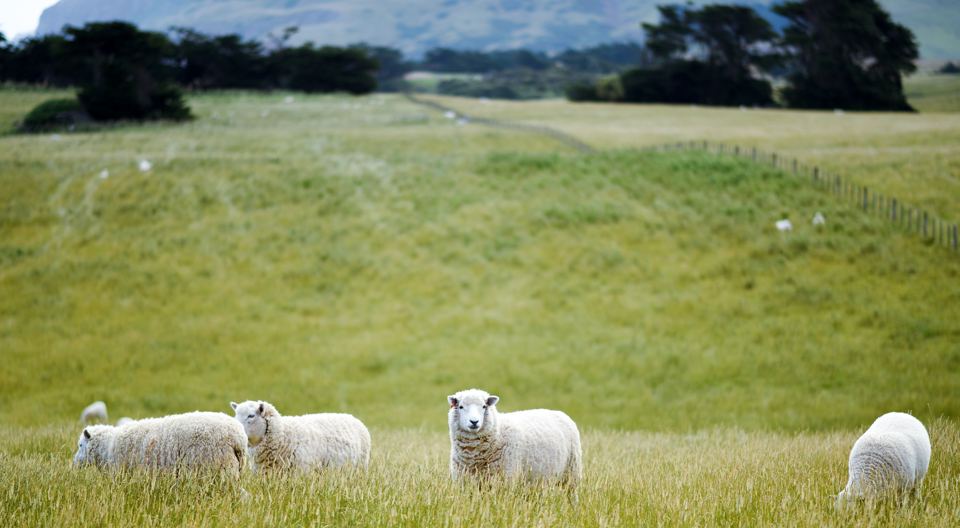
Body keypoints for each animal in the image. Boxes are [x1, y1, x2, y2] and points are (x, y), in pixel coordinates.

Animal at [447, 388, 582, 489]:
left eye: (484, 406)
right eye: (461, 407)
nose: (474, 422)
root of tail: (561, 413)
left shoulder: (506, 479)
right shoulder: (464, 482)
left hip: (572, 473)